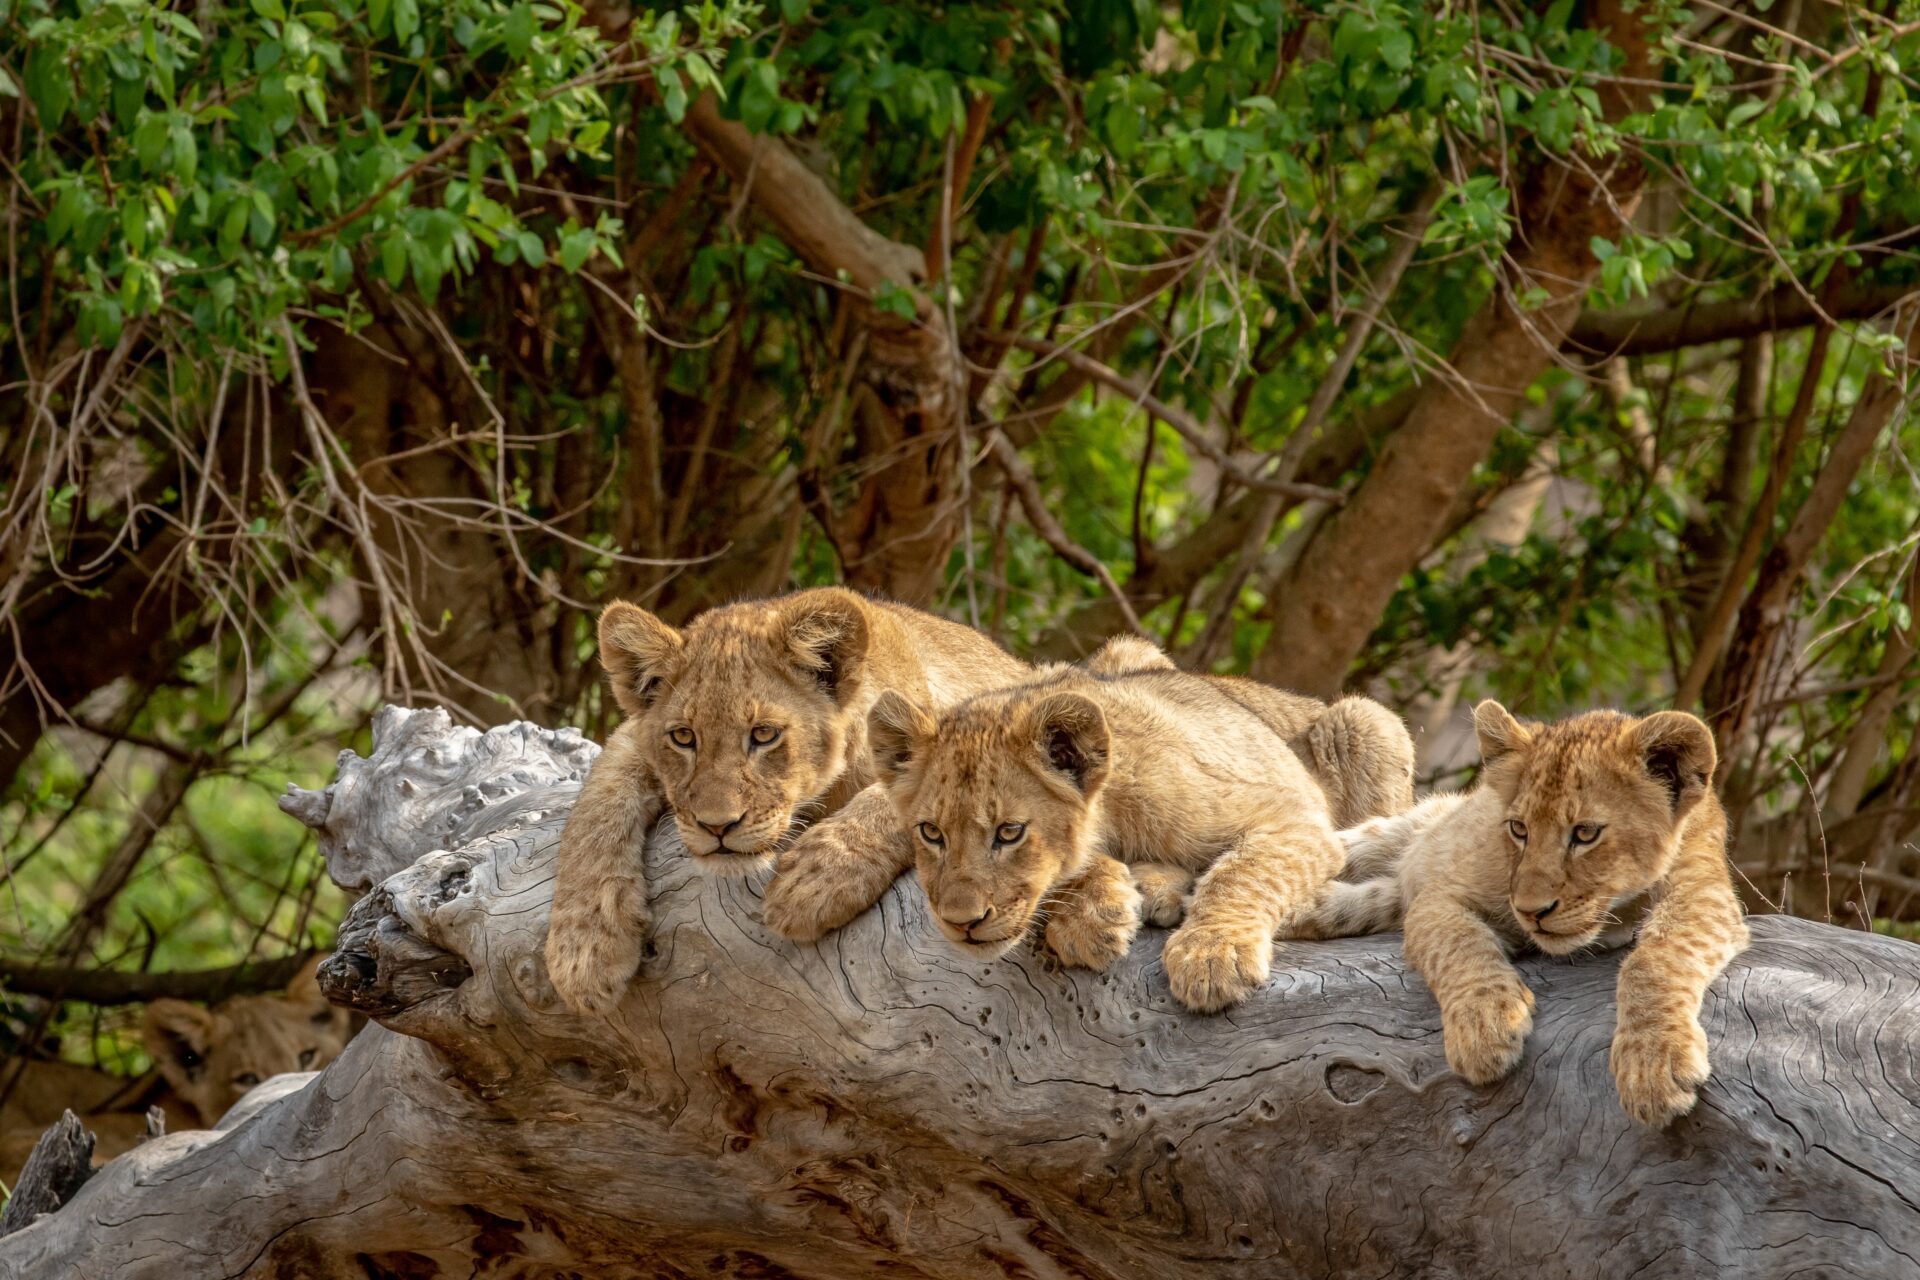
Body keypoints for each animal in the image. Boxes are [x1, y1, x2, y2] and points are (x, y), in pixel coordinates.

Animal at [543, 588, 1030, 1015]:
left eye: (764, 734)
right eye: (683, 737)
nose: (717, 826)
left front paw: (816, 878)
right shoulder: (630, 738)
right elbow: (597, 806)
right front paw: (583, 951)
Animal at [861, 646, 1368, 1013]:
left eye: (1009, 832)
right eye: (931, 833)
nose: (961, 923)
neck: (1113, 816)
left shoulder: (1297, 815)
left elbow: (1246, 871)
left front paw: (1212, 955)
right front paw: (1091, 917)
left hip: (1361, 722)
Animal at [1293, 701, 1749, 1126]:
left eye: (1585, 833)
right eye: (1519, 829)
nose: (1532, 912)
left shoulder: (1705, 894)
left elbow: (1656, 959)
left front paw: (1652, 1062)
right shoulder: (1440, 896)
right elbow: (1458, 942)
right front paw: (1484, 1026)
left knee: (1374, 899)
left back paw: (1308, 912)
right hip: (1390, 835)